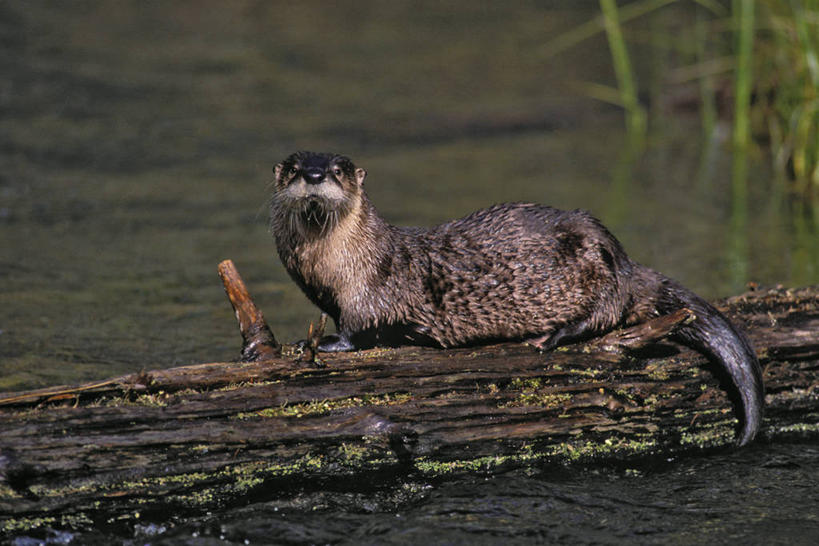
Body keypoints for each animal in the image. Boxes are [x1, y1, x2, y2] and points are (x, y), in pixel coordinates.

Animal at [272, 149, 764, 442]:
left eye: (337, 171)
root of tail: (623, 259)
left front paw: (327, 344)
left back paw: (552, 336)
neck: (337, 267)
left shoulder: (374, 288)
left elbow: (361, 326)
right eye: (294, 168)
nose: (314, 174)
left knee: (607, 313)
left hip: (599, 269)